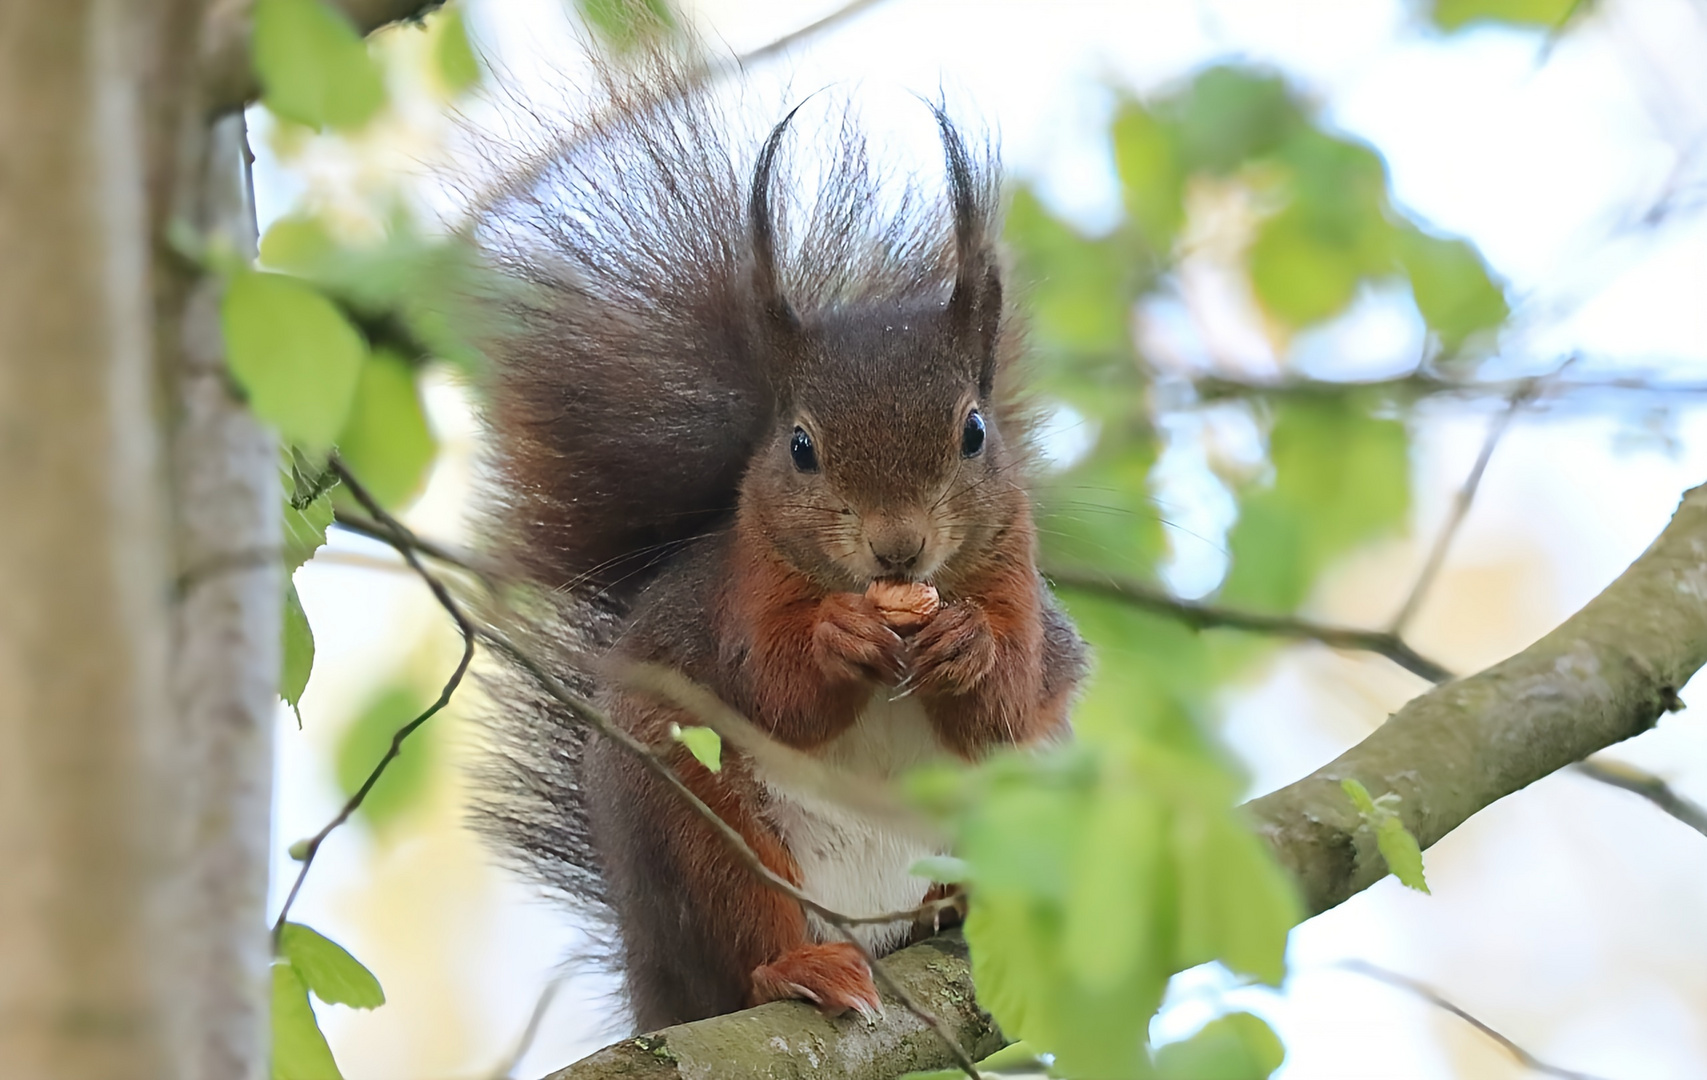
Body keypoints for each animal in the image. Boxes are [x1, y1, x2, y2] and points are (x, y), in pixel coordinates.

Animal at [467, 67, 1085, 1030]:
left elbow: (1013, 697)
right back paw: (798, 969)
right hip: (694, 820)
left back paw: (951, 905)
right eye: (799, 446)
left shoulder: (1017, 586)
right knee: (748, 934)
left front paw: (970, 645)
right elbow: (772, 687)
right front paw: (838, 638)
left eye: (974, 433)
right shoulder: (738, 600)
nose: (897, 549)